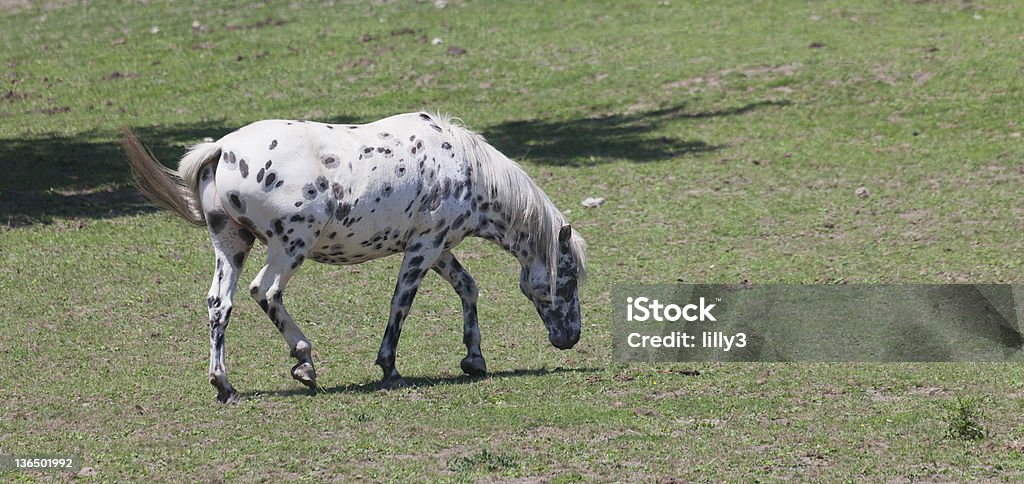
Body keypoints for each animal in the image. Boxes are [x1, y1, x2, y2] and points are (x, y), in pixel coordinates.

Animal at [121, 111, 585, 401]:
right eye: (568, 278)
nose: (571, 337)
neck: (462, 165)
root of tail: (222, 149)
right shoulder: (423, 248)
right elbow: (401, 304)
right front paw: (390, 369)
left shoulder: (437, 248)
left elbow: (468, 288)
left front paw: (474, 359)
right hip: (289, 247)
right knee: (265, 291)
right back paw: (304, 363)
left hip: (232, 245)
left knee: (221, 304)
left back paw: (225, 385)